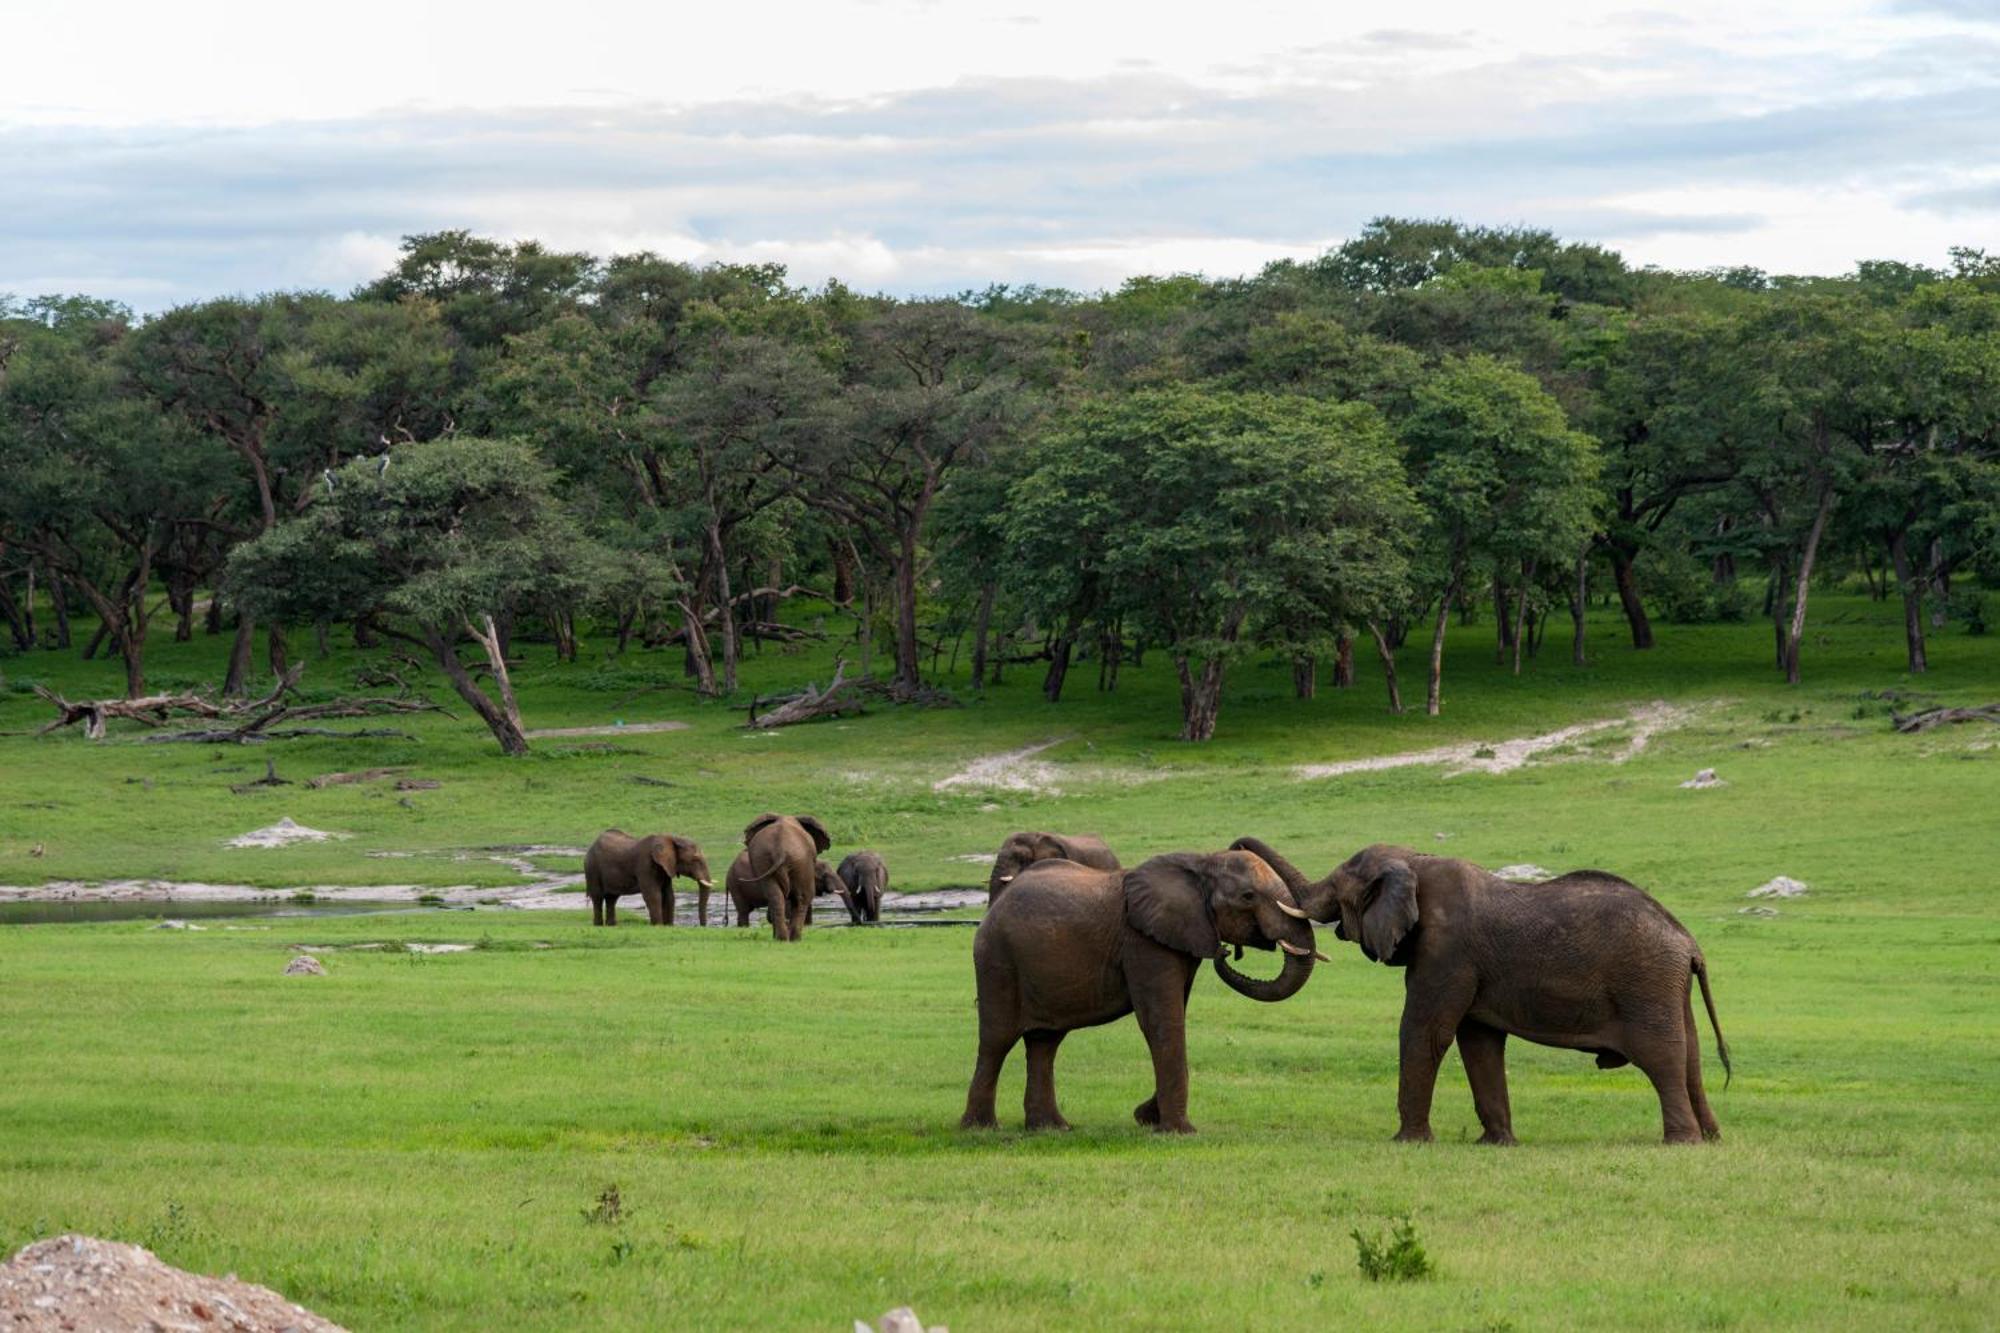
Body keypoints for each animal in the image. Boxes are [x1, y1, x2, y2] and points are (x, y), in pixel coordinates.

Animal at [584, 832, 716, 924]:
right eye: (695, 859)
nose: (702, 926)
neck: (671, 838)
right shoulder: (645, 866)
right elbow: (653, 896)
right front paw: (658, 926)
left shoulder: (666, 868)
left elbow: (669, 896)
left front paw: (668, 926)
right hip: (592, 868)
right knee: (598, 897)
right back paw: (599, 925)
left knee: (611, 899)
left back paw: (611, 926)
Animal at [956, 844, 1328, 1128]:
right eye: (1248, 896)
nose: (1226, 953)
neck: (1199, 862)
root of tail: (995, 904)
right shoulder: (1143, 942)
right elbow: (1161, 1020)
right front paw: (1177, 1130)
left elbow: (1174, 1013)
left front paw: (1149, 1117)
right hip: (997, 960)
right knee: (997, 1040)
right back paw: (981, 1129)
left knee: (1045, 1042)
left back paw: (1051, 1128)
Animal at [1224, 840, 1728, 1144]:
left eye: (1336, 889)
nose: (1234, 846)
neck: (1416, 861)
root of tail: (1689, 942)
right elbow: (1478, 1042)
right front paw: (1497, 1143)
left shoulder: (1446, 950)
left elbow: (1425, 1031)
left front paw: (1408, 1142)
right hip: (1668, 987)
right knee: (1691, 1057)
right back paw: (1710, 1138)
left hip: (1646, 981)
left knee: (1660, 1055)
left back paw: (1679, 1143)